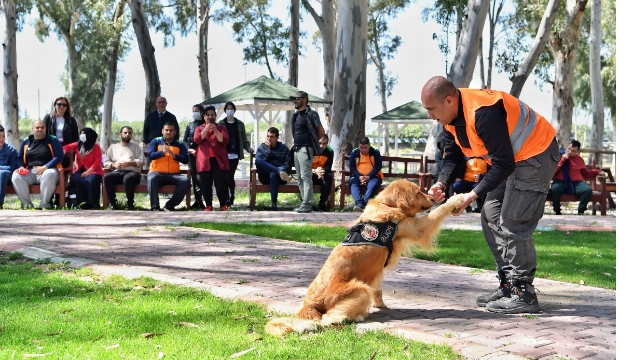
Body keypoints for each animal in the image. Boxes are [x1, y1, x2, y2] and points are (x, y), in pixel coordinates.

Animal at [264, 179, 464, 336]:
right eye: (418, 192)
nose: (433, 197)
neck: (388, 205)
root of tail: (309, 304)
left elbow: (378, 289)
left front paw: (380, 304)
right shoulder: (417, 226)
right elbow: (437, 213)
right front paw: (455, 199)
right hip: (360, 289)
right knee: (328, 318)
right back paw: (356, 316)